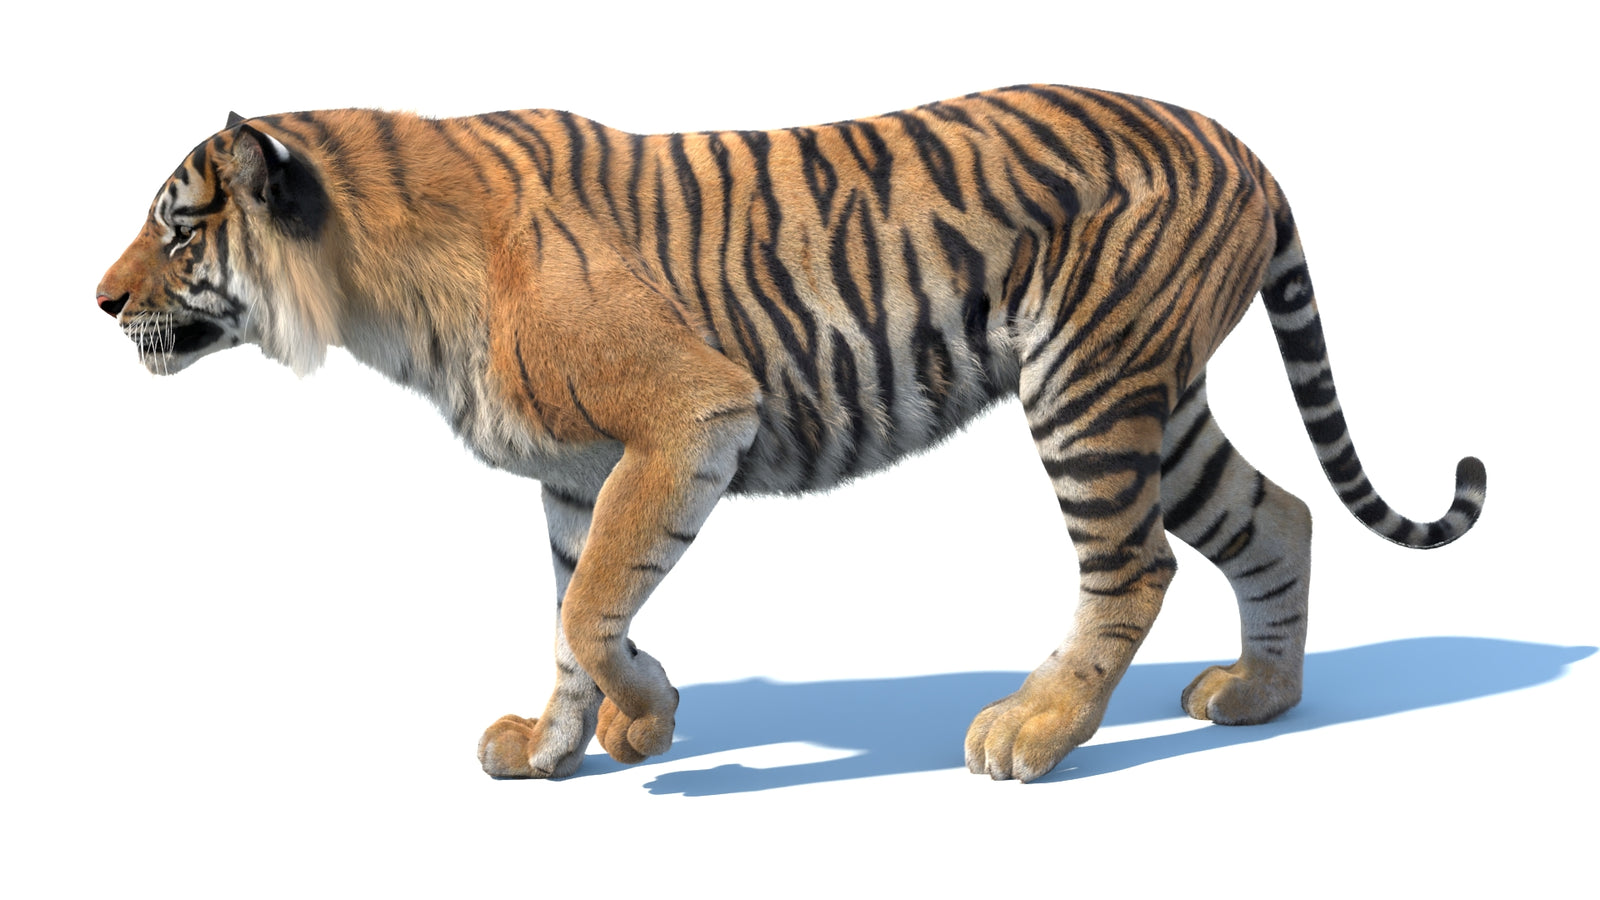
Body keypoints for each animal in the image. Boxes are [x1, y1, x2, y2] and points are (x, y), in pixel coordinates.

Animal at [96, 85, 1485, 782]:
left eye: (176, 227)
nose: (99, 302)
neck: (377, 290)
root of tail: (1242, 142)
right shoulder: (574, 474)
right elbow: (569, 611)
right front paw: (553, 748)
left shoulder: (688, 415)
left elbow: (591, 607)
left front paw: (647, 720)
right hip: (1156, 395)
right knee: (1278, 514)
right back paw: (1258, 697)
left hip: (1087, 384)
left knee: (1132, 565)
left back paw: (1031, 732)